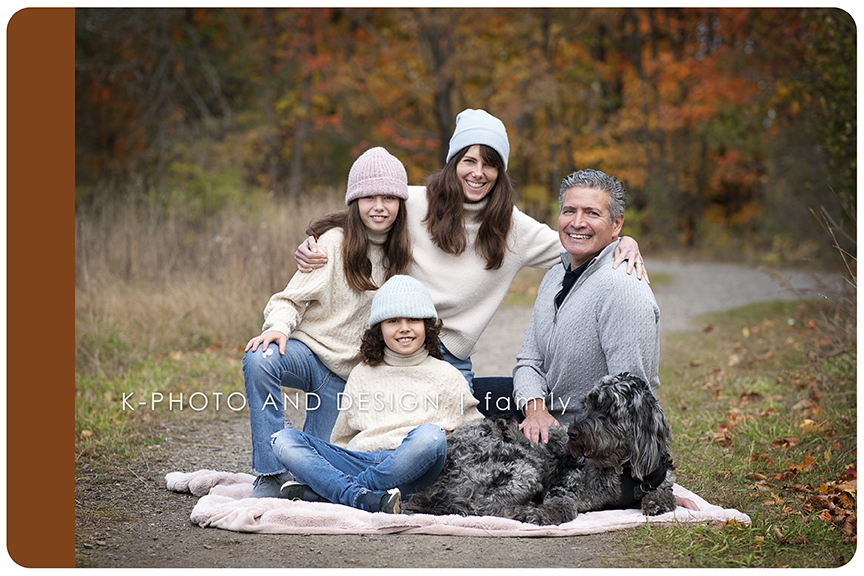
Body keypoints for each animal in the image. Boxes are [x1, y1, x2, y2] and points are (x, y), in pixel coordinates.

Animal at [402, 373, 677, 525]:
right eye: (588, 403)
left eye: (609, 411)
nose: (573, 434)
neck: (620, 468)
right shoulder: (563, 488)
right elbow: (563, 508)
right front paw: (544, 515)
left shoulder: (660, 480)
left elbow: (669, 496)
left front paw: (656, 502)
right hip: (522, 469)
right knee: (481, 507)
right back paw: (522, 510)